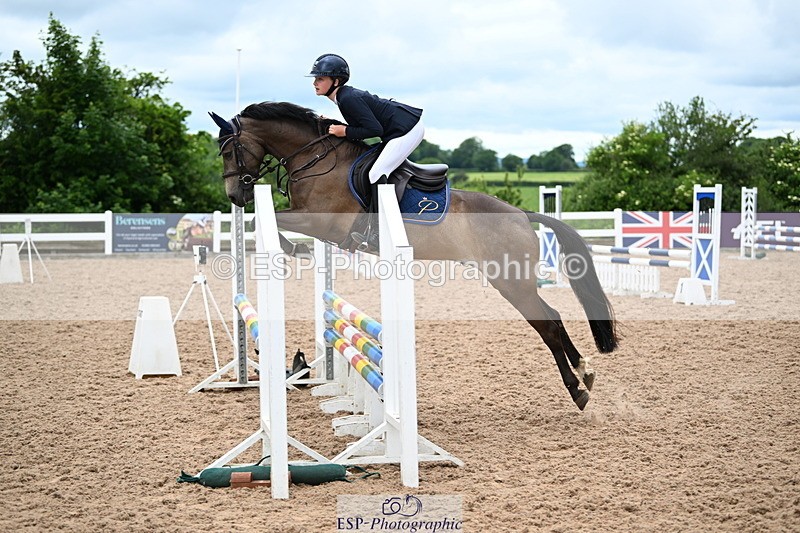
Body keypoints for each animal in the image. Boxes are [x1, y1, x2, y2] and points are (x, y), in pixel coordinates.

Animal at [211, 101, 618, 410]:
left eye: (230, 150)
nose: (235, 195)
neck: (314, 158)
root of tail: (521, 214)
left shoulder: (321, 221)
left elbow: (266, 221)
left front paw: (293, 247)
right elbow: (263, 221)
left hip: (510, 281)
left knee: (547, 323)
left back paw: (578, 391)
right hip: (513, 280)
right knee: (555, 317)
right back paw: (586, 372)